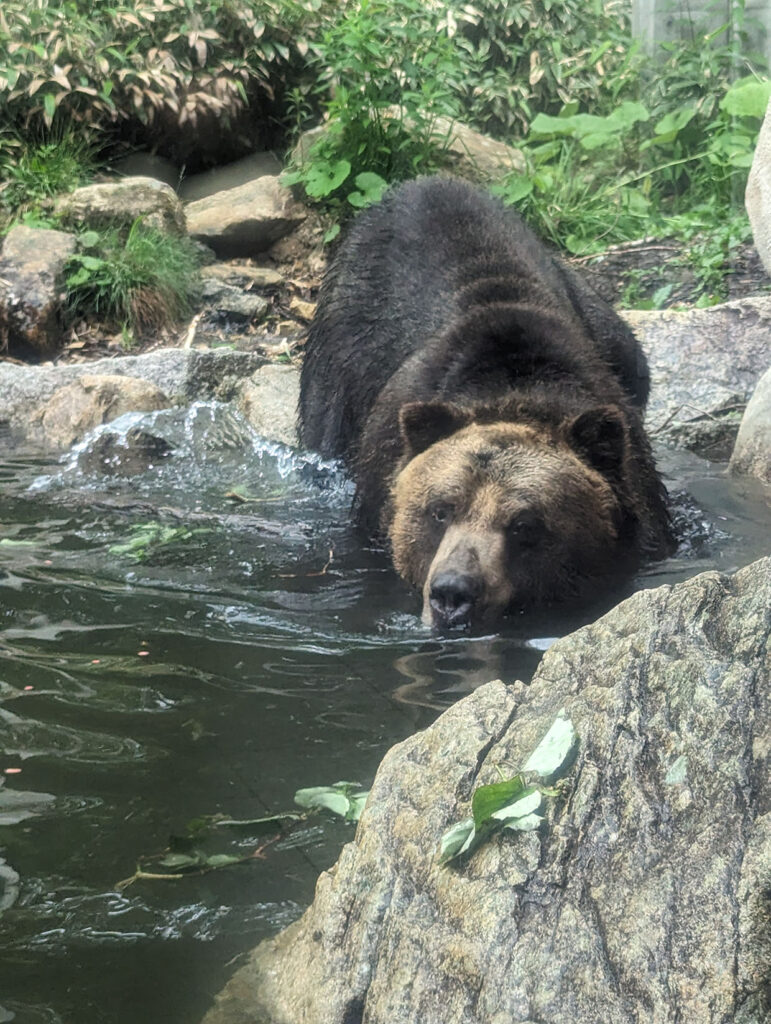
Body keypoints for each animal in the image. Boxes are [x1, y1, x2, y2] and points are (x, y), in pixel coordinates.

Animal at [296, 177, 671, 626]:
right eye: (440, 510)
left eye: (524, 524)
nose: (453, 592)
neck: (511, 389)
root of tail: (417, 183)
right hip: (339, 354)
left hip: (610, 330)